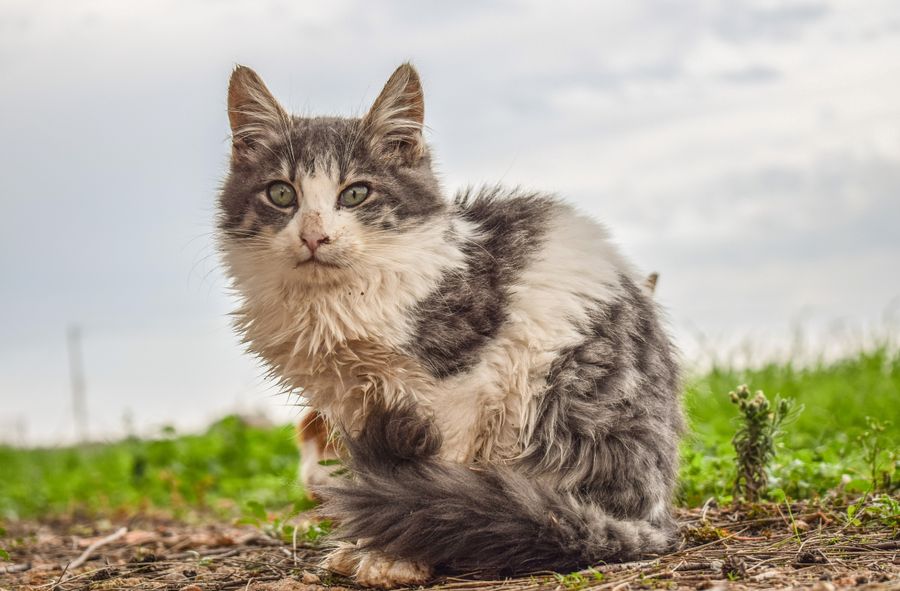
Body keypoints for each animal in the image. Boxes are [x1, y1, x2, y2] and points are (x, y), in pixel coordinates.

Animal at [218, 62, 684, 588]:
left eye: (355, 194)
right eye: (282, 194)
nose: (315, 236)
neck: (338, 301)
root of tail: (654, 518)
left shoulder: (460, 389)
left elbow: (429, 468)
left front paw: (396, 556)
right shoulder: (352, 399)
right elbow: (378, 473)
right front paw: (367, 541)